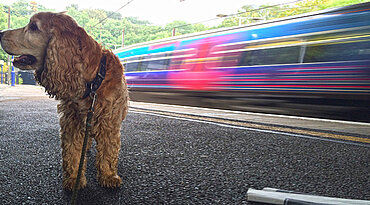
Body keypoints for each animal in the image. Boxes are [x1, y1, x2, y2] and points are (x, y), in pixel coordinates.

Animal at [0, 12, 129, 190]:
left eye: (33, 26)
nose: (0, 33)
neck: (92, 81)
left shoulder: (109, 121)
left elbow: (108, 151)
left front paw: (108, 176)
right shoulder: (72, 120)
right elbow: (72, 152)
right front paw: (74, 179)